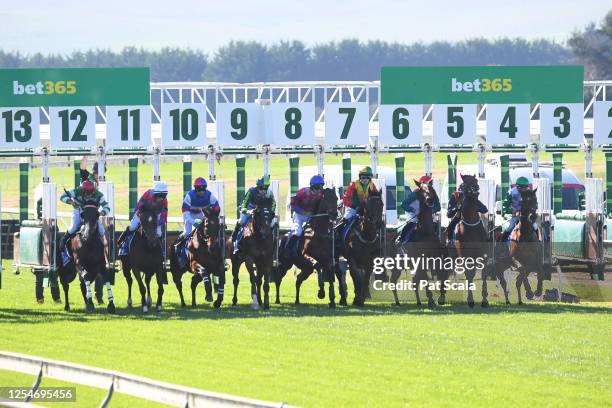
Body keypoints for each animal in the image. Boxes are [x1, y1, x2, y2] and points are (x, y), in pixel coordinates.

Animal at [392, 180, 444, 308]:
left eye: (431, 189)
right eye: (421, 190)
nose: (430, 200)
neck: (426, 232)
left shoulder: (434, 259)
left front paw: (437, 298)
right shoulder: (420, 261)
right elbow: (425, 279)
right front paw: (431, 300)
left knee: (414, 282)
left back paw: (419, 301)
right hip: (397, 265)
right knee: (393, 282)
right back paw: (397, 302)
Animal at [456, 174, 490, 308]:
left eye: (475, 181)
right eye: (464, 184)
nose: (476, 190)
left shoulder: (483, 255)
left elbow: (484, 274)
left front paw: (485, 299)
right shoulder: (465, 256)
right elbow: (469, 275)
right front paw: (470, 300)